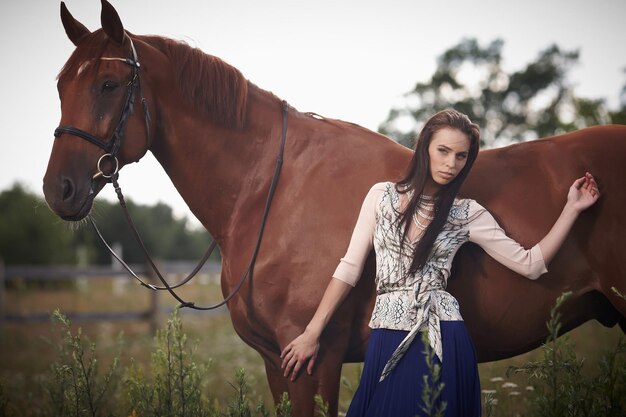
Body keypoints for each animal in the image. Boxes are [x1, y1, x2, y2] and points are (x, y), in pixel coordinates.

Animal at [44, 1, 624, 414]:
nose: (58, 190)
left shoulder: (314, 360)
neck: (273, 189)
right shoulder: (276, 364)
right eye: (59, 85)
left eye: (109, 83)